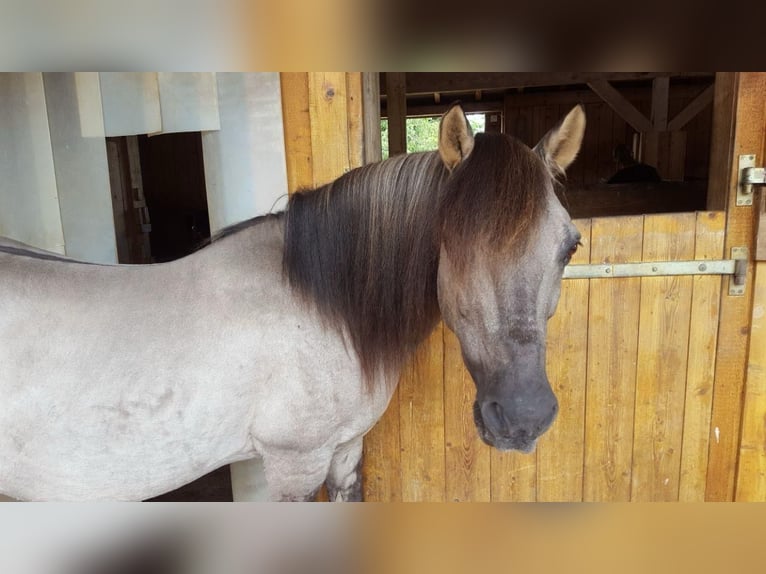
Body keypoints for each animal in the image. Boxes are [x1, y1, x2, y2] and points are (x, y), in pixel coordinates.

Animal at [0, 104, 585, 501]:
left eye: (570, 246)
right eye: (453, 243)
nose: (523, 418)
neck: (323, 308)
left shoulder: (345, 451)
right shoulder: (295, 464)